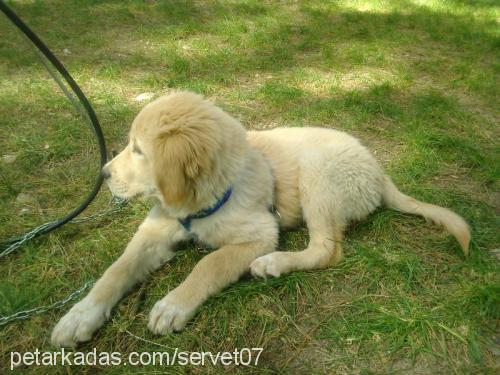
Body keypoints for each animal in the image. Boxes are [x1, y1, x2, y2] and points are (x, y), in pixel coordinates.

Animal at [50, 90, 468, 346]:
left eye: (139, 150)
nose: (103, 174)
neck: (199, 203)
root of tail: (378, 171)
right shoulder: (154, 230)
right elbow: (117, 270)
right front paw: (79, 315)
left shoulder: (259, 232)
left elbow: (208, 264)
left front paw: (174, 304)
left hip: (317, 175)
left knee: (327, 250)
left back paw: (274, 263)